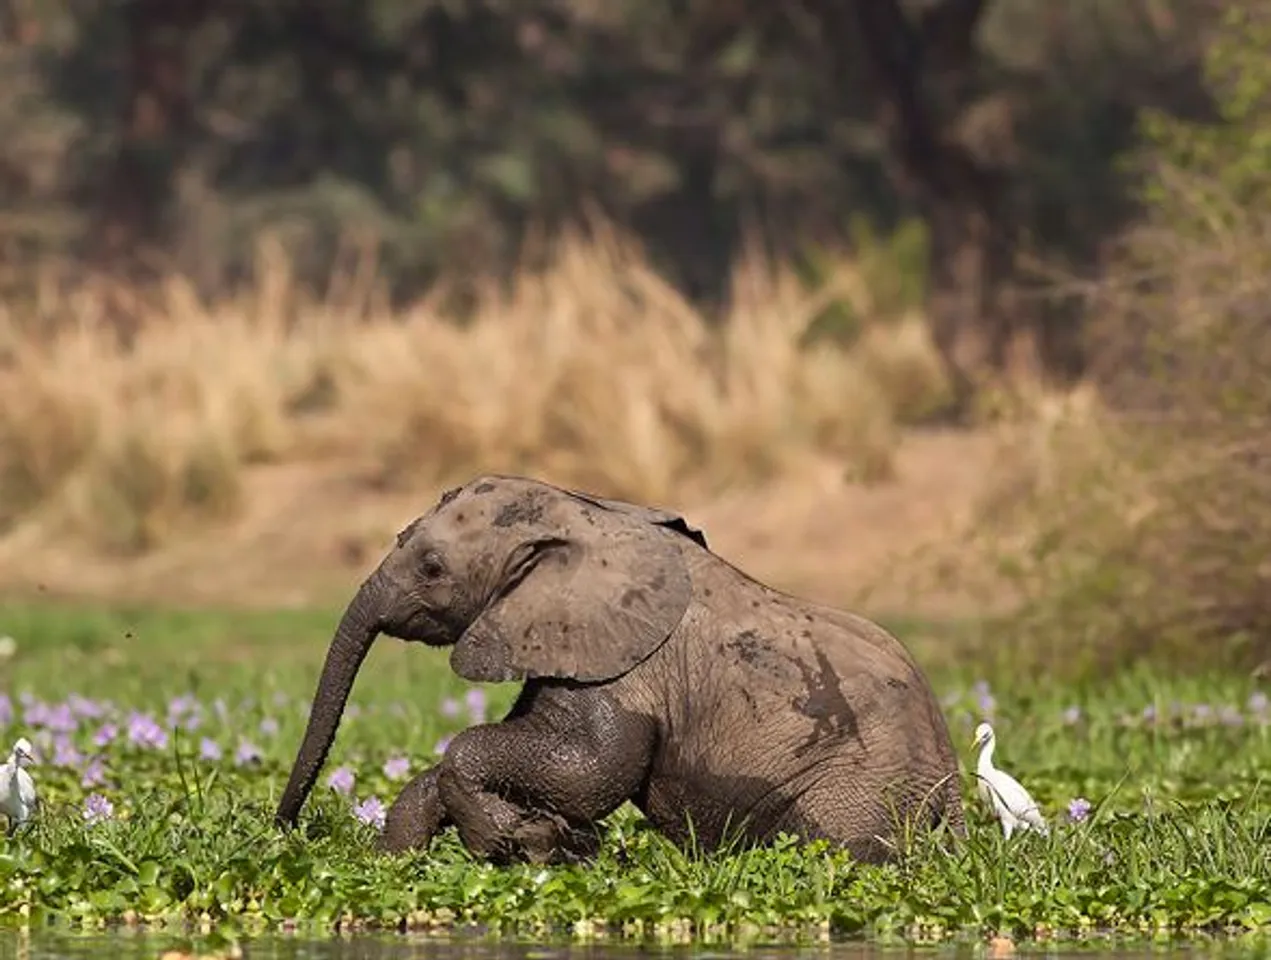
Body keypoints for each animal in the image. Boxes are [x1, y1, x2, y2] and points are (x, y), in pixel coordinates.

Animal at [274, 475, 966, 865]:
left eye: (432, 568)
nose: (284, 832)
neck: (588, 517)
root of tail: (954, 777)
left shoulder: (626, 667)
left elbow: (593, 771)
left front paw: (528, 841)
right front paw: (399, 860)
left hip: (861, 785)